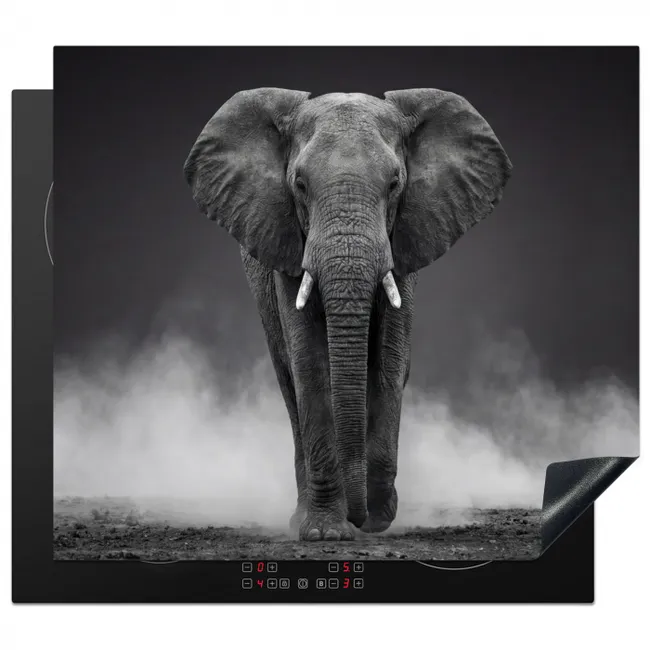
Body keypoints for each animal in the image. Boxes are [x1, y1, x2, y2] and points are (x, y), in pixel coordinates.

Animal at [184, 88, 512, 541]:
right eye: (300, 185)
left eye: (394, 184)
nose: (361, 517)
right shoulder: (287, 245)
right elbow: (310, 366)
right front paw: (325, 533)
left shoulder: (404, 242)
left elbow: (389, 363)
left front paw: (377, 517)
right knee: (289, 384)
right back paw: (301, 516)